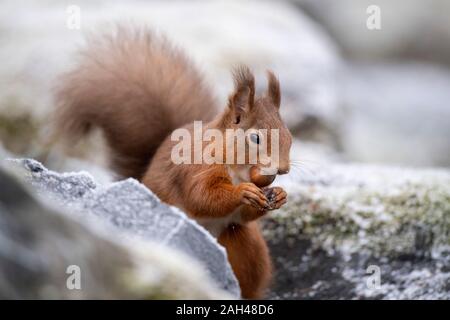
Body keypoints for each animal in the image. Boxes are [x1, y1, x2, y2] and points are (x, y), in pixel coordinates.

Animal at [55, 27, 292, 300]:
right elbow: (202, 196)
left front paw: (279, 194)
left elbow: (245, 215)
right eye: (255, 138)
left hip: (244, 245)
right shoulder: (195, 168)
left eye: (290, 136)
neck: (237, 168)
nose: (283, 169)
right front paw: (243, 192)